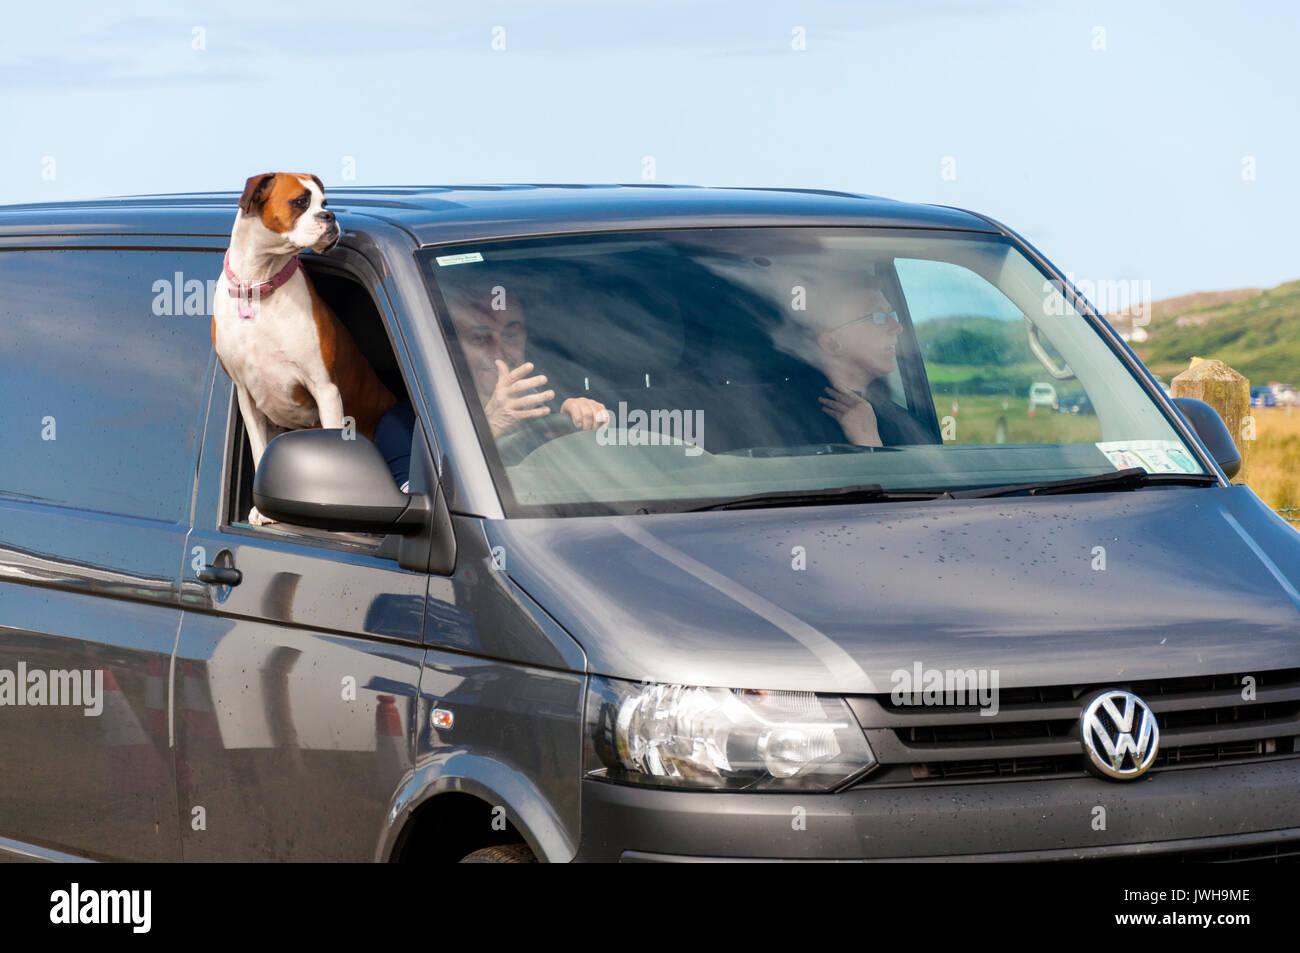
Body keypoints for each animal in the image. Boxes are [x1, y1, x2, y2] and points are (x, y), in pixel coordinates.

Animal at [210, 174, 395, 525]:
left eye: (324, 202)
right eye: (300, 202)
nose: (330, 216)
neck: (260, 282)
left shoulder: (325, 389)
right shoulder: (246, 395)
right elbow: (260, 451)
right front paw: (262, 511)